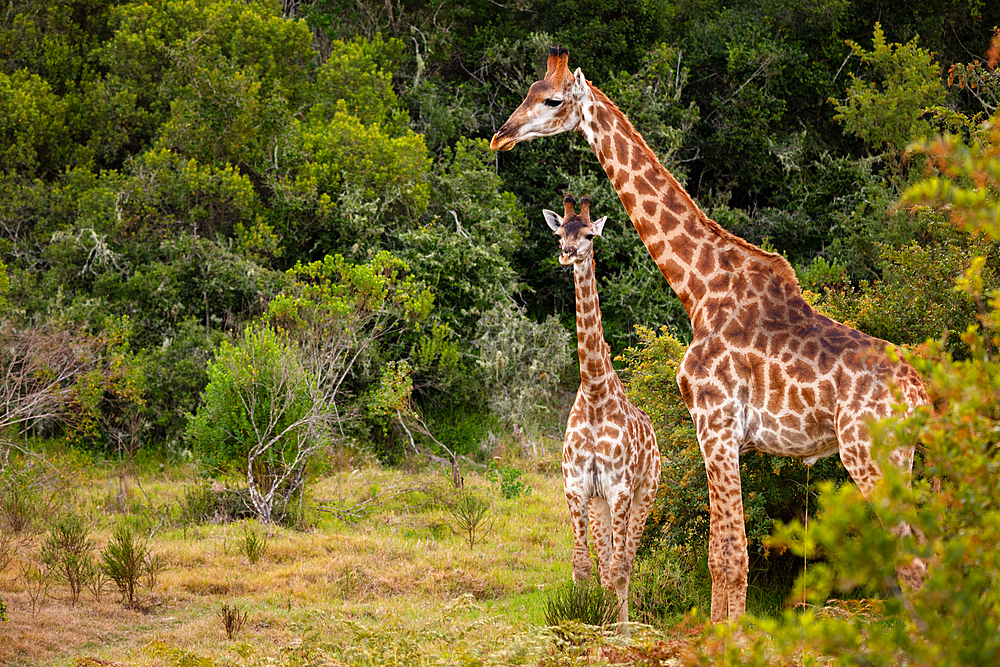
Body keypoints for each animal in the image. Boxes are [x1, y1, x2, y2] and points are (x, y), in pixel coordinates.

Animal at [544, 193, 660, 632]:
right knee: (608, 561)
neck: (594, 394)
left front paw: (619, 633)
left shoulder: (621, 488)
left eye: (590, 235)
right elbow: (583, 566)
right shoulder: (576, 487)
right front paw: (579, 623)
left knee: (626, 561)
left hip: (646, 493)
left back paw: (620, 623)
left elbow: (620, 568)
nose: (567, 253)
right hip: (600, 505)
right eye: (559, 232)